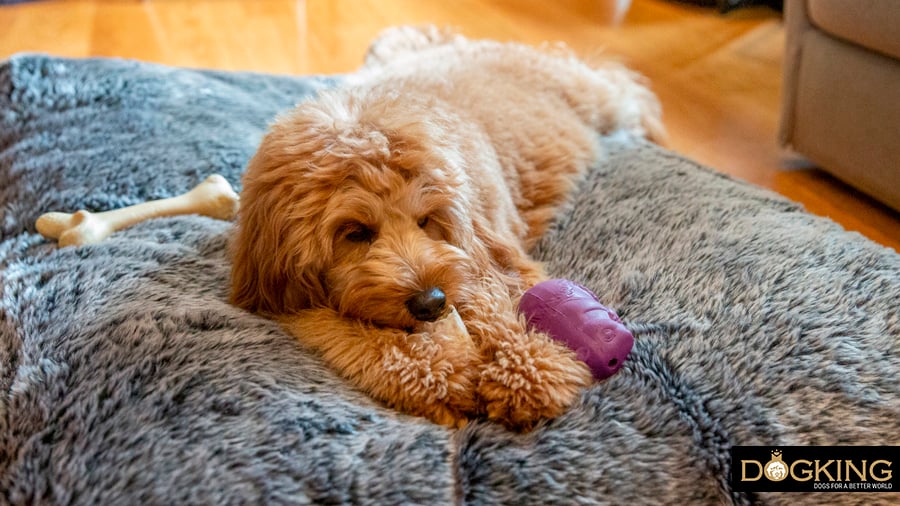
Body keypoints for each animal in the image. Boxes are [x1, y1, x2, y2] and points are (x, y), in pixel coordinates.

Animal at [232, 25, 660, 428]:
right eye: (355, 232)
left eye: (426, 220)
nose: (431, 302)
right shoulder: (287, 295)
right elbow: (342, 329)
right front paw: (438, 378)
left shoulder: (486, 256)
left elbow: (494, 305)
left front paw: (529, 370)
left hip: (594, 96)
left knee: (623, 87)